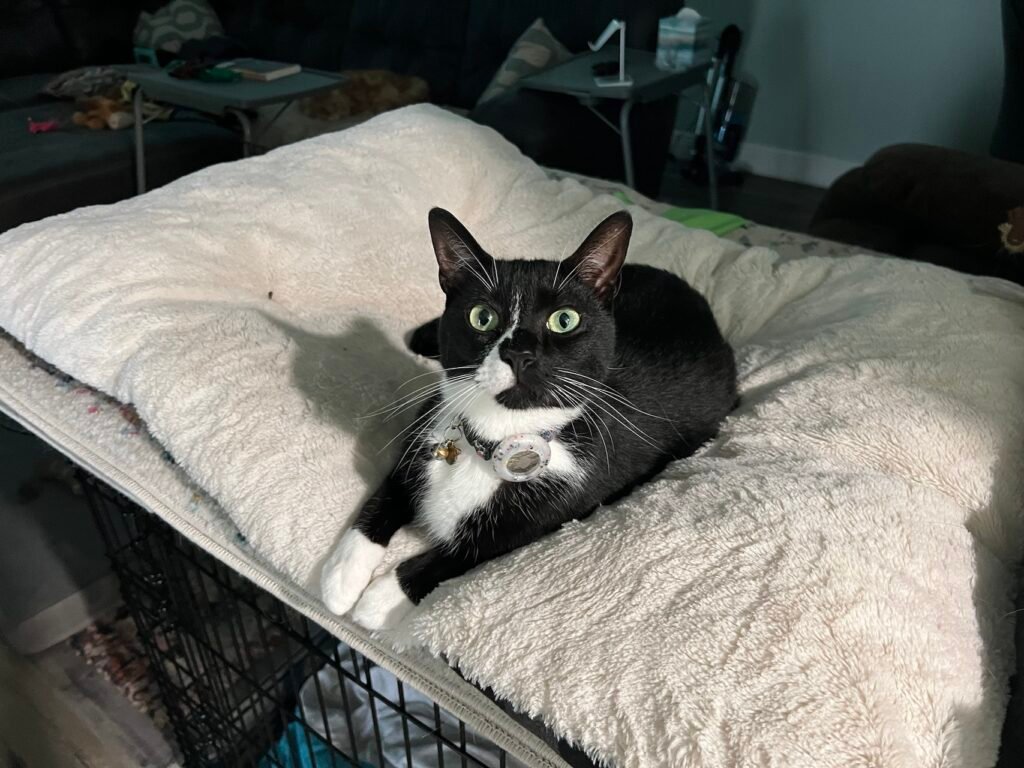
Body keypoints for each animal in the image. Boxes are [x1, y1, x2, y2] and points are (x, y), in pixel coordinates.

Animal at [321, 207, 737, 626]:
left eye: (564, 320)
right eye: (482, 317)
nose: (519, 353)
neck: (495, 438)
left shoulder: (560, 502)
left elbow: (464, 554)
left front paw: (379, 599)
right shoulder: (427, 426)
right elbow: (388, 491)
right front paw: (340, 577)